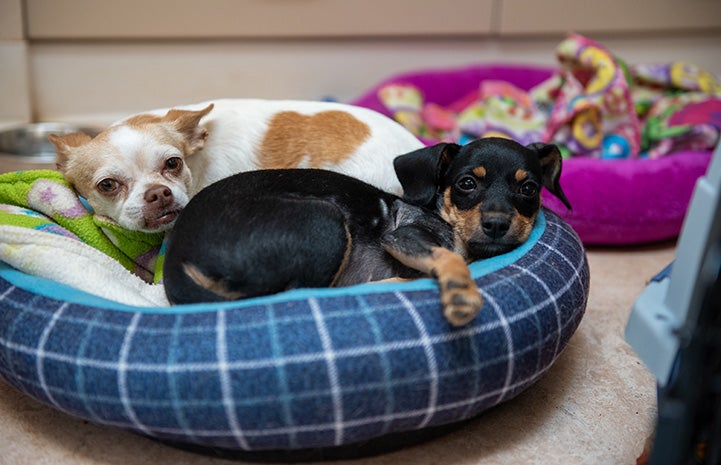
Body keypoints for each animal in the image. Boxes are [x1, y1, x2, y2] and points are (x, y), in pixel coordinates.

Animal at [162, 137, 568, 326]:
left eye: (529, 189)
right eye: (467, 184)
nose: (497, 224)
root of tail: (177, 259)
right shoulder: (402, 237)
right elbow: (450, 256)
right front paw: (461, 293)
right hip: (324, 222)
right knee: (302, 292)